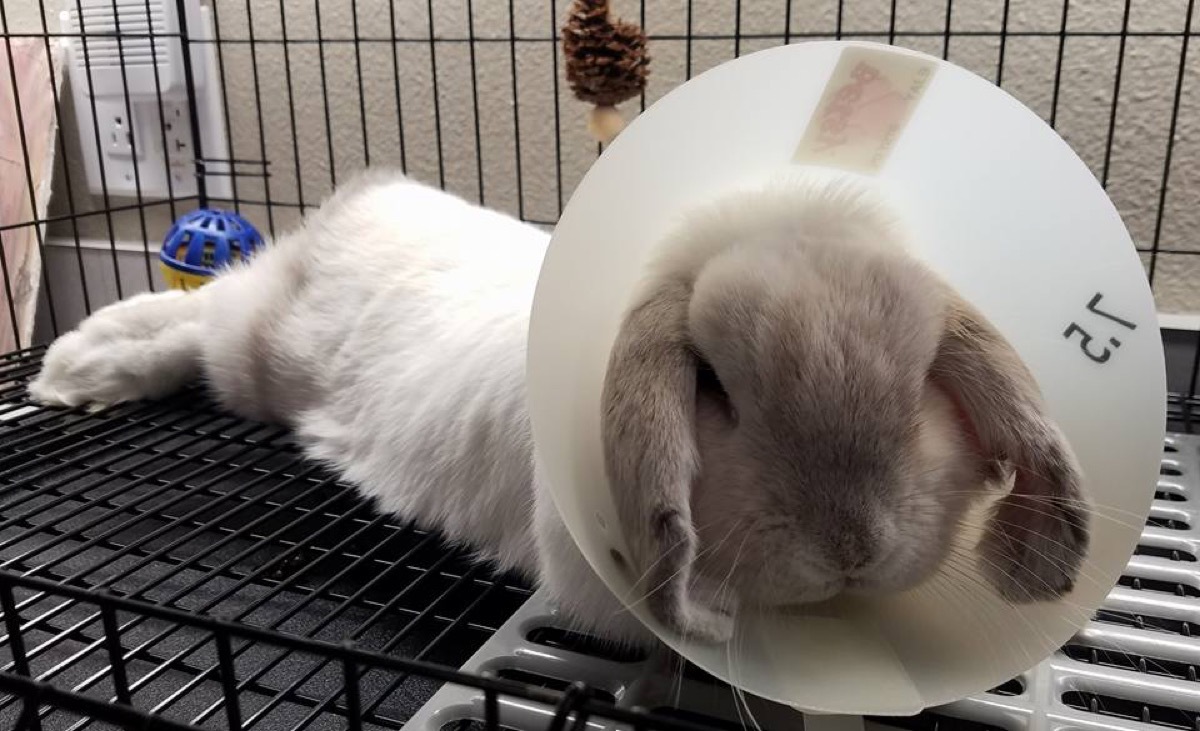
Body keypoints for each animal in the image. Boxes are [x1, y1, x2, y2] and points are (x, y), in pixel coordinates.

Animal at [29, 169, 1089, 649]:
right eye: (714, 386)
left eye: (919, 387)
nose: (851, 547)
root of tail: (368, 195)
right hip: (254, 347)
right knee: (192, 319)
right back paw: (69, 370)